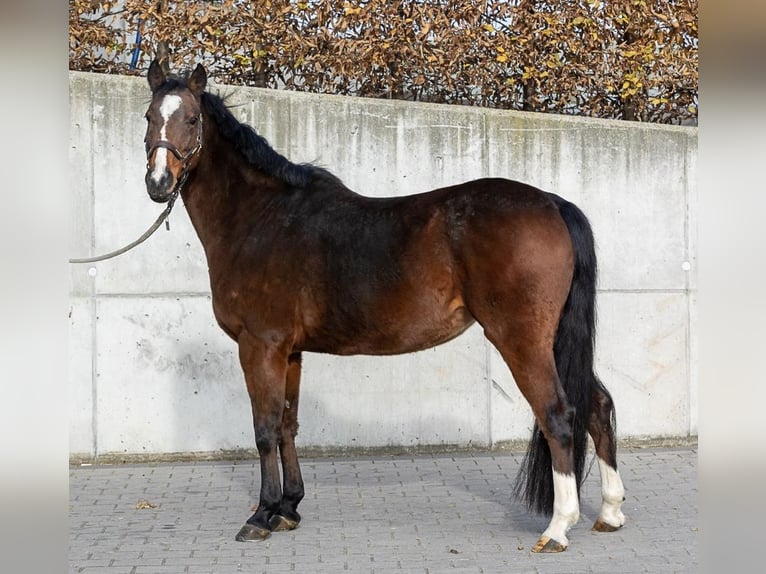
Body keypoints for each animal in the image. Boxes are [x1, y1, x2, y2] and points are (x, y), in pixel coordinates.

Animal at [142, 58, 626, 553]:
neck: (261, 216)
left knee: (558, 414)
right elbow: (287, 425)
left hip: (521, 338)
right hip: (554, 337)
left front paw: (261, 515)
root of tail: (553, 203)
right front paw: (289, 508)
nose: (158, 184)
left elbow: (264, 429)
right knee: (597, 405)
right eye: (149, 117)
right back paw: (609, 512)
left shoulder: (260, 345)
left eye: (192, 119)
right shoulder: (289, 351)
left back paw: (558, 526)